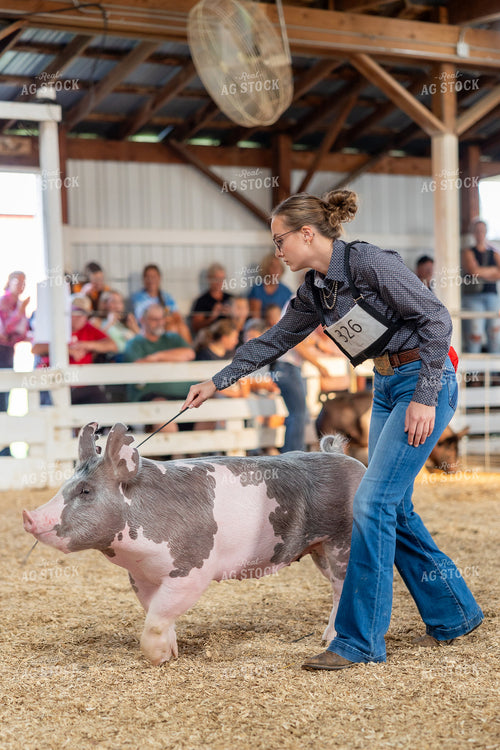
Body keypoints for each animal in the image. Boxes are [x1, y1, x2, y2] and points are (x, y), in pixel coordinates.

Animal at [23, 422, 365, 666]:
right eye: (66, 485)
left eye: (85, 491)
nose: (29, 515)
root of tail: (347, 459)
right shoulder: (140, 576)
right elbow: (156, 611)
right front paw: (172, 652)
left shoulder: (192, 569)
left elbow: (157, 618)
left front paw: (159, 658)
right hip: (318, 548)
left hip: (343, 541)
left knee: (343, 586)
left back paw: (328, 641)